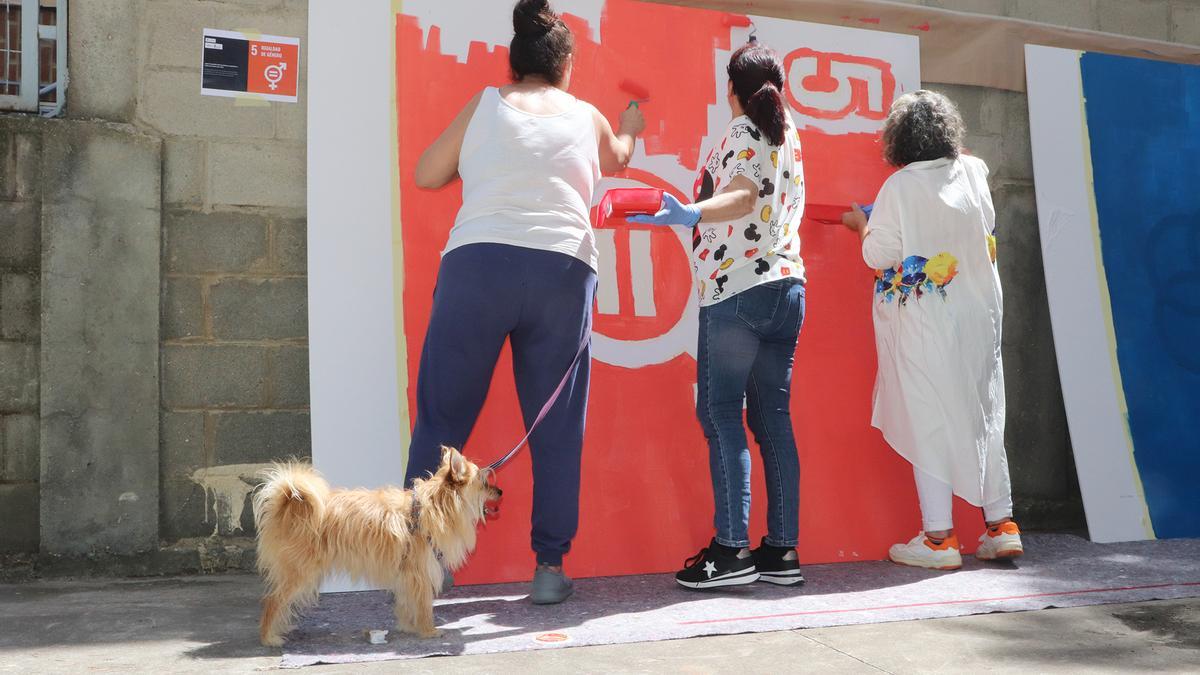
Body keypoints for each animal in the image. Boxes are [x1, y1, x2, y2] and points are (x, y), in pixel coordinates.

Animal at [250, 444, 499, 643]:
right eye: (484, 482)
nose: (500, 490)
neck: (431, 509)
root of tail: (288, 504)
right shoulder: (419, 573)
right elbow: (423, 605)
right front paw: (428, 630)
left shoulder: (407, 575)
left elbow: (406, 602)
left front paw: (408, 626)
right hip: (299, 572)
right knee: (273, 600)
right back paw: (269, 637)